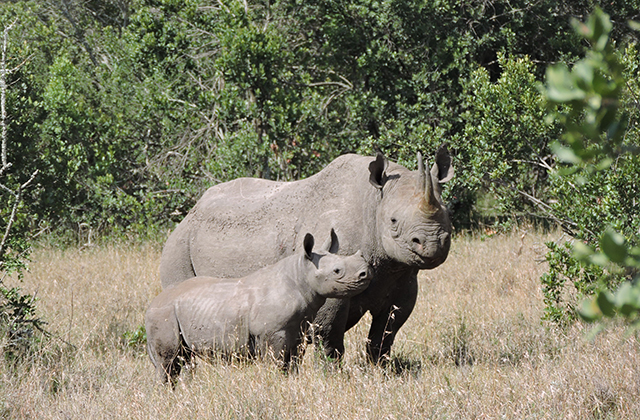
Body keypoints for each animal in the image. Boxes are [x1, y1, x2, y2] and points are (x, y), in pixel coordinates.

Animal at [144, 230, 370, 384]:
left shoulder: (298, 330)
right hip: (164, 313)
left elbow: (293, 364)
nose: (365, 273)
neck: (301, 274)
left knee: (182, 359)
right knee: (168, 363)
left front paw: (290, 383)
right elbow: (276, 363)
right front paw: (275, 384)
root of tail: (151, 304)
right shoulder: (273, 332)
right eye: (337, 271)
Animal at [158, 146, 452, 362]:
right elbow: (329, 337)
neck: (373, 203)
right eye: (393, 221)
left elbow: (384, 336)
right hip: (178, 245)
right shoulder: (330, 280)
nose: (432, 243)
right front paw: (333, 378)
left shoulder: (401, 278)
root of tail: (191, 212)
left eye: (447, 213)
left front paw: (379, 373)